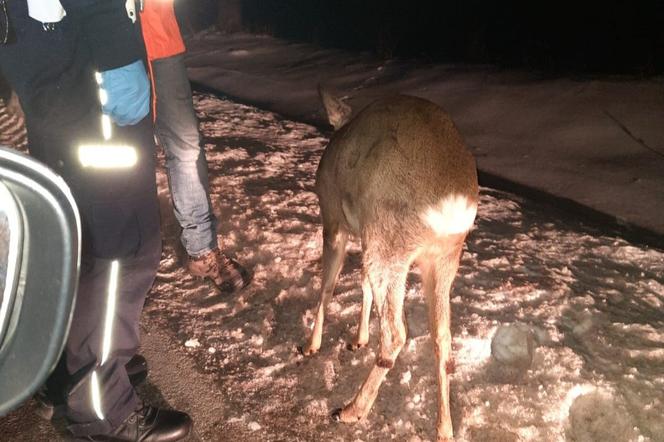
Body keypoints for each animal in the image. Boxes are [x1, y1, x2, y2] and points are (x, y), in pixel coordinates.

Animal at [304, 88, 480, 440]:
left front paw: (311, 345)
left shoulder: (334, 220)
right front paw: (357, 339)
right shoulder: (365, 235)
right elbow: (361, 284)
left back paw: (351, 410)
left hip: (390, 242)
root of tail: (453, 204)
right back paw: (445, 429)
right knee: (442, 338)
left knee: (397, 332)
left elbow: (328, 285)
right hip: (441, 257)